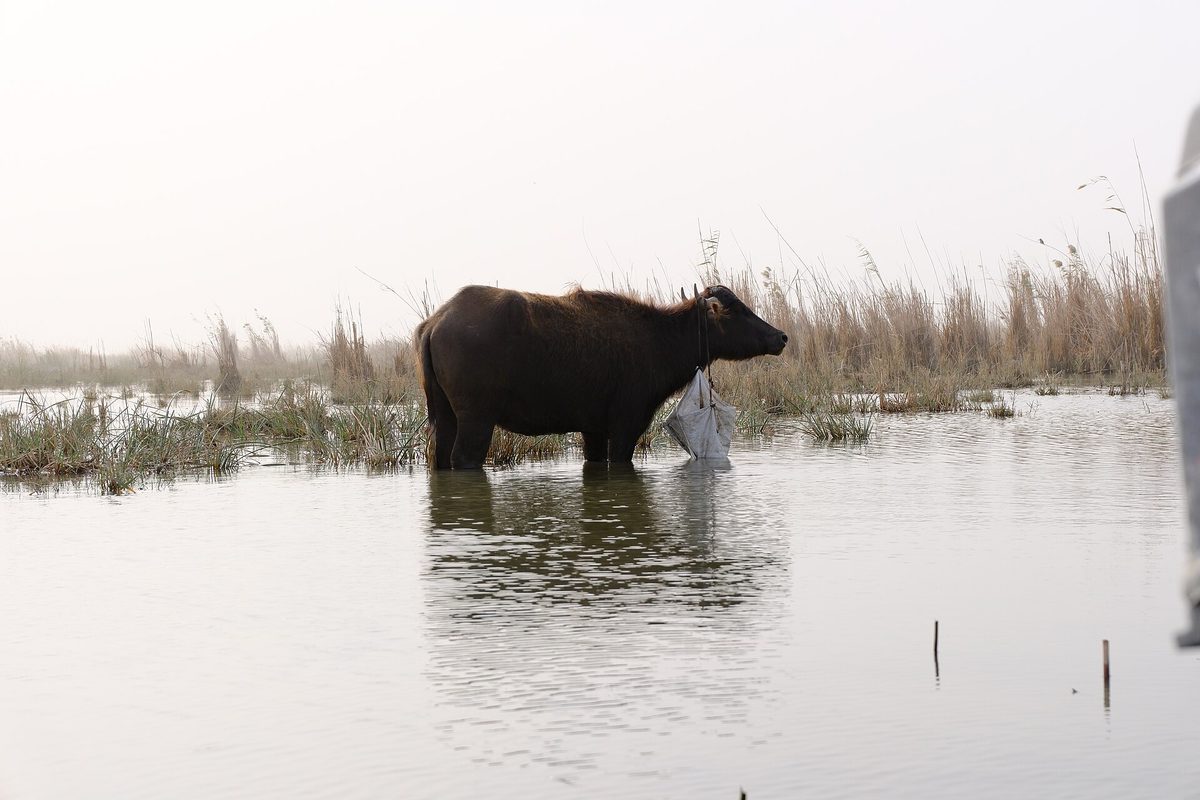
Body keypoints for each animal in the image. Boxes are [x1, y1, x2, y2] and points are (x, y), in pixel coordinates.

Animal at [416, 284, 787, 469]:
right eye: (737, 310)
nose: (780, 337)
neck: (660, 340)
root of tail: (435, 322)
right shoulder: (627, 424)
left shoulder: (592, 429)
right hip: (477, 419)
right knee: (463, 459)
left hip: (444, 416)